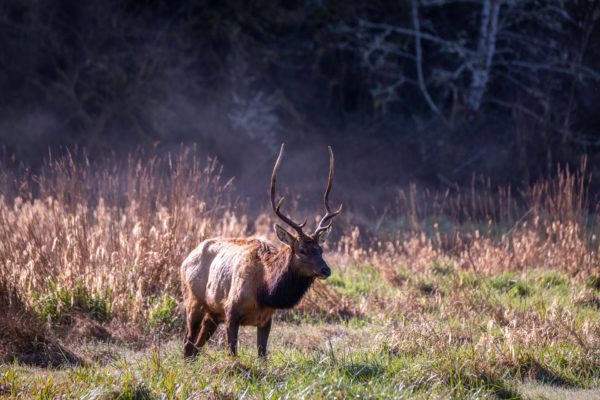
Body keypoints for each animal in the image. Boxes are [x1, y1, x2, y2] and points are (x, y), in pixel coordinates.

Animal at [179, 145, 342, 358]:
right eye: (302, 250)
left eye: (321, 249)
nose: (325, 270)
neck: (265, 292)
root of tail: (185, 260)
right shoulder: (231, 311)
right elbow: (233, 354)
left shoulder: (266, 319)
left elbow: (262, 356)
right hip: (193, 300)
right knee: (187, 343)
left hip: (212, 313)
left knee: (195, 347)